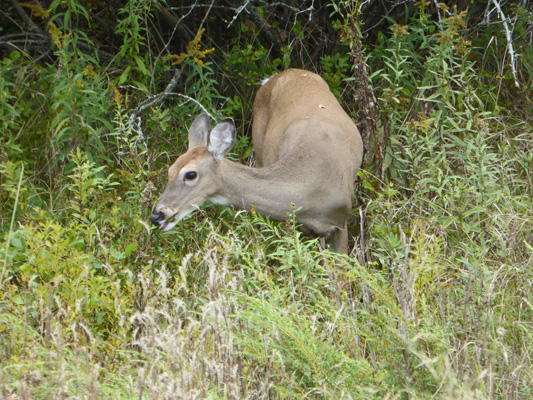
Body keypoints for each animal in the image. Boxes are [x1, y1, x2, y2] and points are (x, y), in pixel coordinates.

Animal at [150, 67, 366, 252]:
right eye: (169, 171)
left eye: (190, 174)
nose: (157, 214)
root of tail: (280, 74)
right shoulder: (289, 223)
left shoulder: (341, 221)